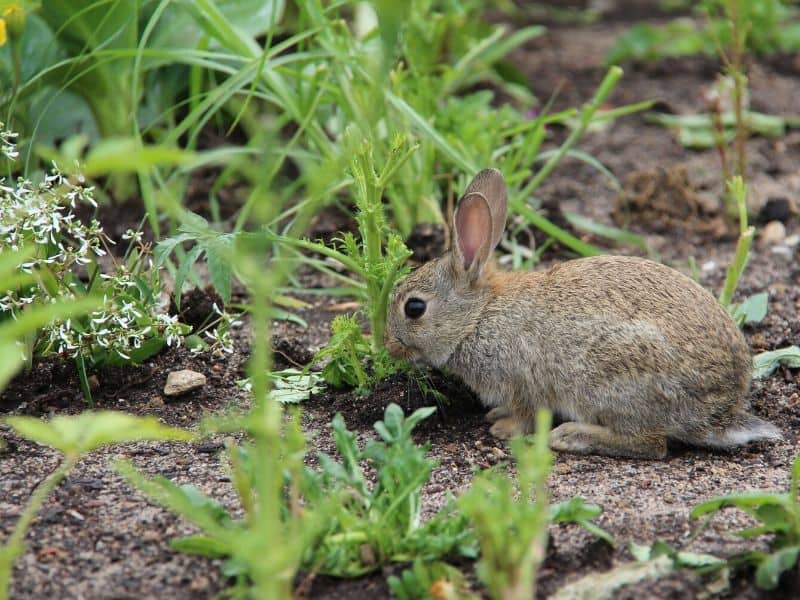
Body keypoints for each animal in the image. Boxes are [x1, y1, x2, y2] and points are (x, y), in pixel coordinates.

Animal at [388, 166, 780, 458]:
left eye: (415, 308)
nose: (390, 347)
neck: (478, 316)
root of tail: (720, 414)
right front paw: (497, 415)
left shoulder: (521, 381)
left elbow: (526, 415)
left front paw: (503, 427)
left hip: (611, 379)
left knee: (651, 444)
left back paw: (571, 436)